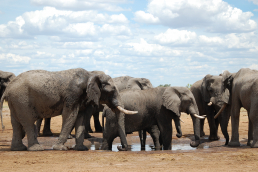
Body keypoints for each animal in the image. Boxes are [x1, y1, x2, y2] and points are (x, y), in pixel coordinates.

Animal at [0, 68, 137, 150]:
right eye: (112, 90)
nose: (122, 148)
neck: (91, 75)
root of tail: (8, 89)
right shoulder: (73, 95)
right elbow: (70, 116)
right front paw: (60, 148)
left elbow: (80, 118)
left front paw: (81, 149)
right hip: (21, 99)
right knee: (27, 122)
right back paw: (36, 148)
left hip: (16, 101)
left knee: (16, 123)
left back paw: (19, 148)